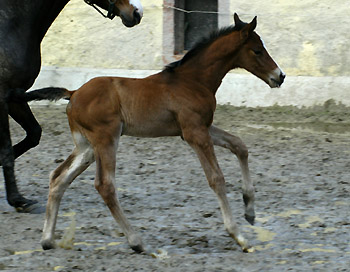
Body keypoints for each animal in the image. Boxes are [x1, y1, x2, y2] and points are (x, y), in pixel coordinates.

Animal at [0, 0, 142, 212]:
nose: (137, 13)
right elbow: (7, 150)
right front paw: (18, 200)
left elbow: (34, 133)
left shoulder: (14, 97)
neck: (10, 24)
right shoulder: (3, 97)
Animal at [13, 13, 284, 252]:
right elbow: (216, 179)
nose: (279, 76)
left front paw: (250, 210)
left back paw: (47, 239)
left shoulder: (200, 129)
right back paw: (137, 242)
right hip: (106, 140)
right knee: (105, 185)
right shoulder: (195, 134)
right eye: (257, 50)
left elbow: (240, 145)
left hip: (86, 147)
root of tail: (73, 92)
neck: (192, 81)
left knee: (59, 178)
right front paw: (239, 236)